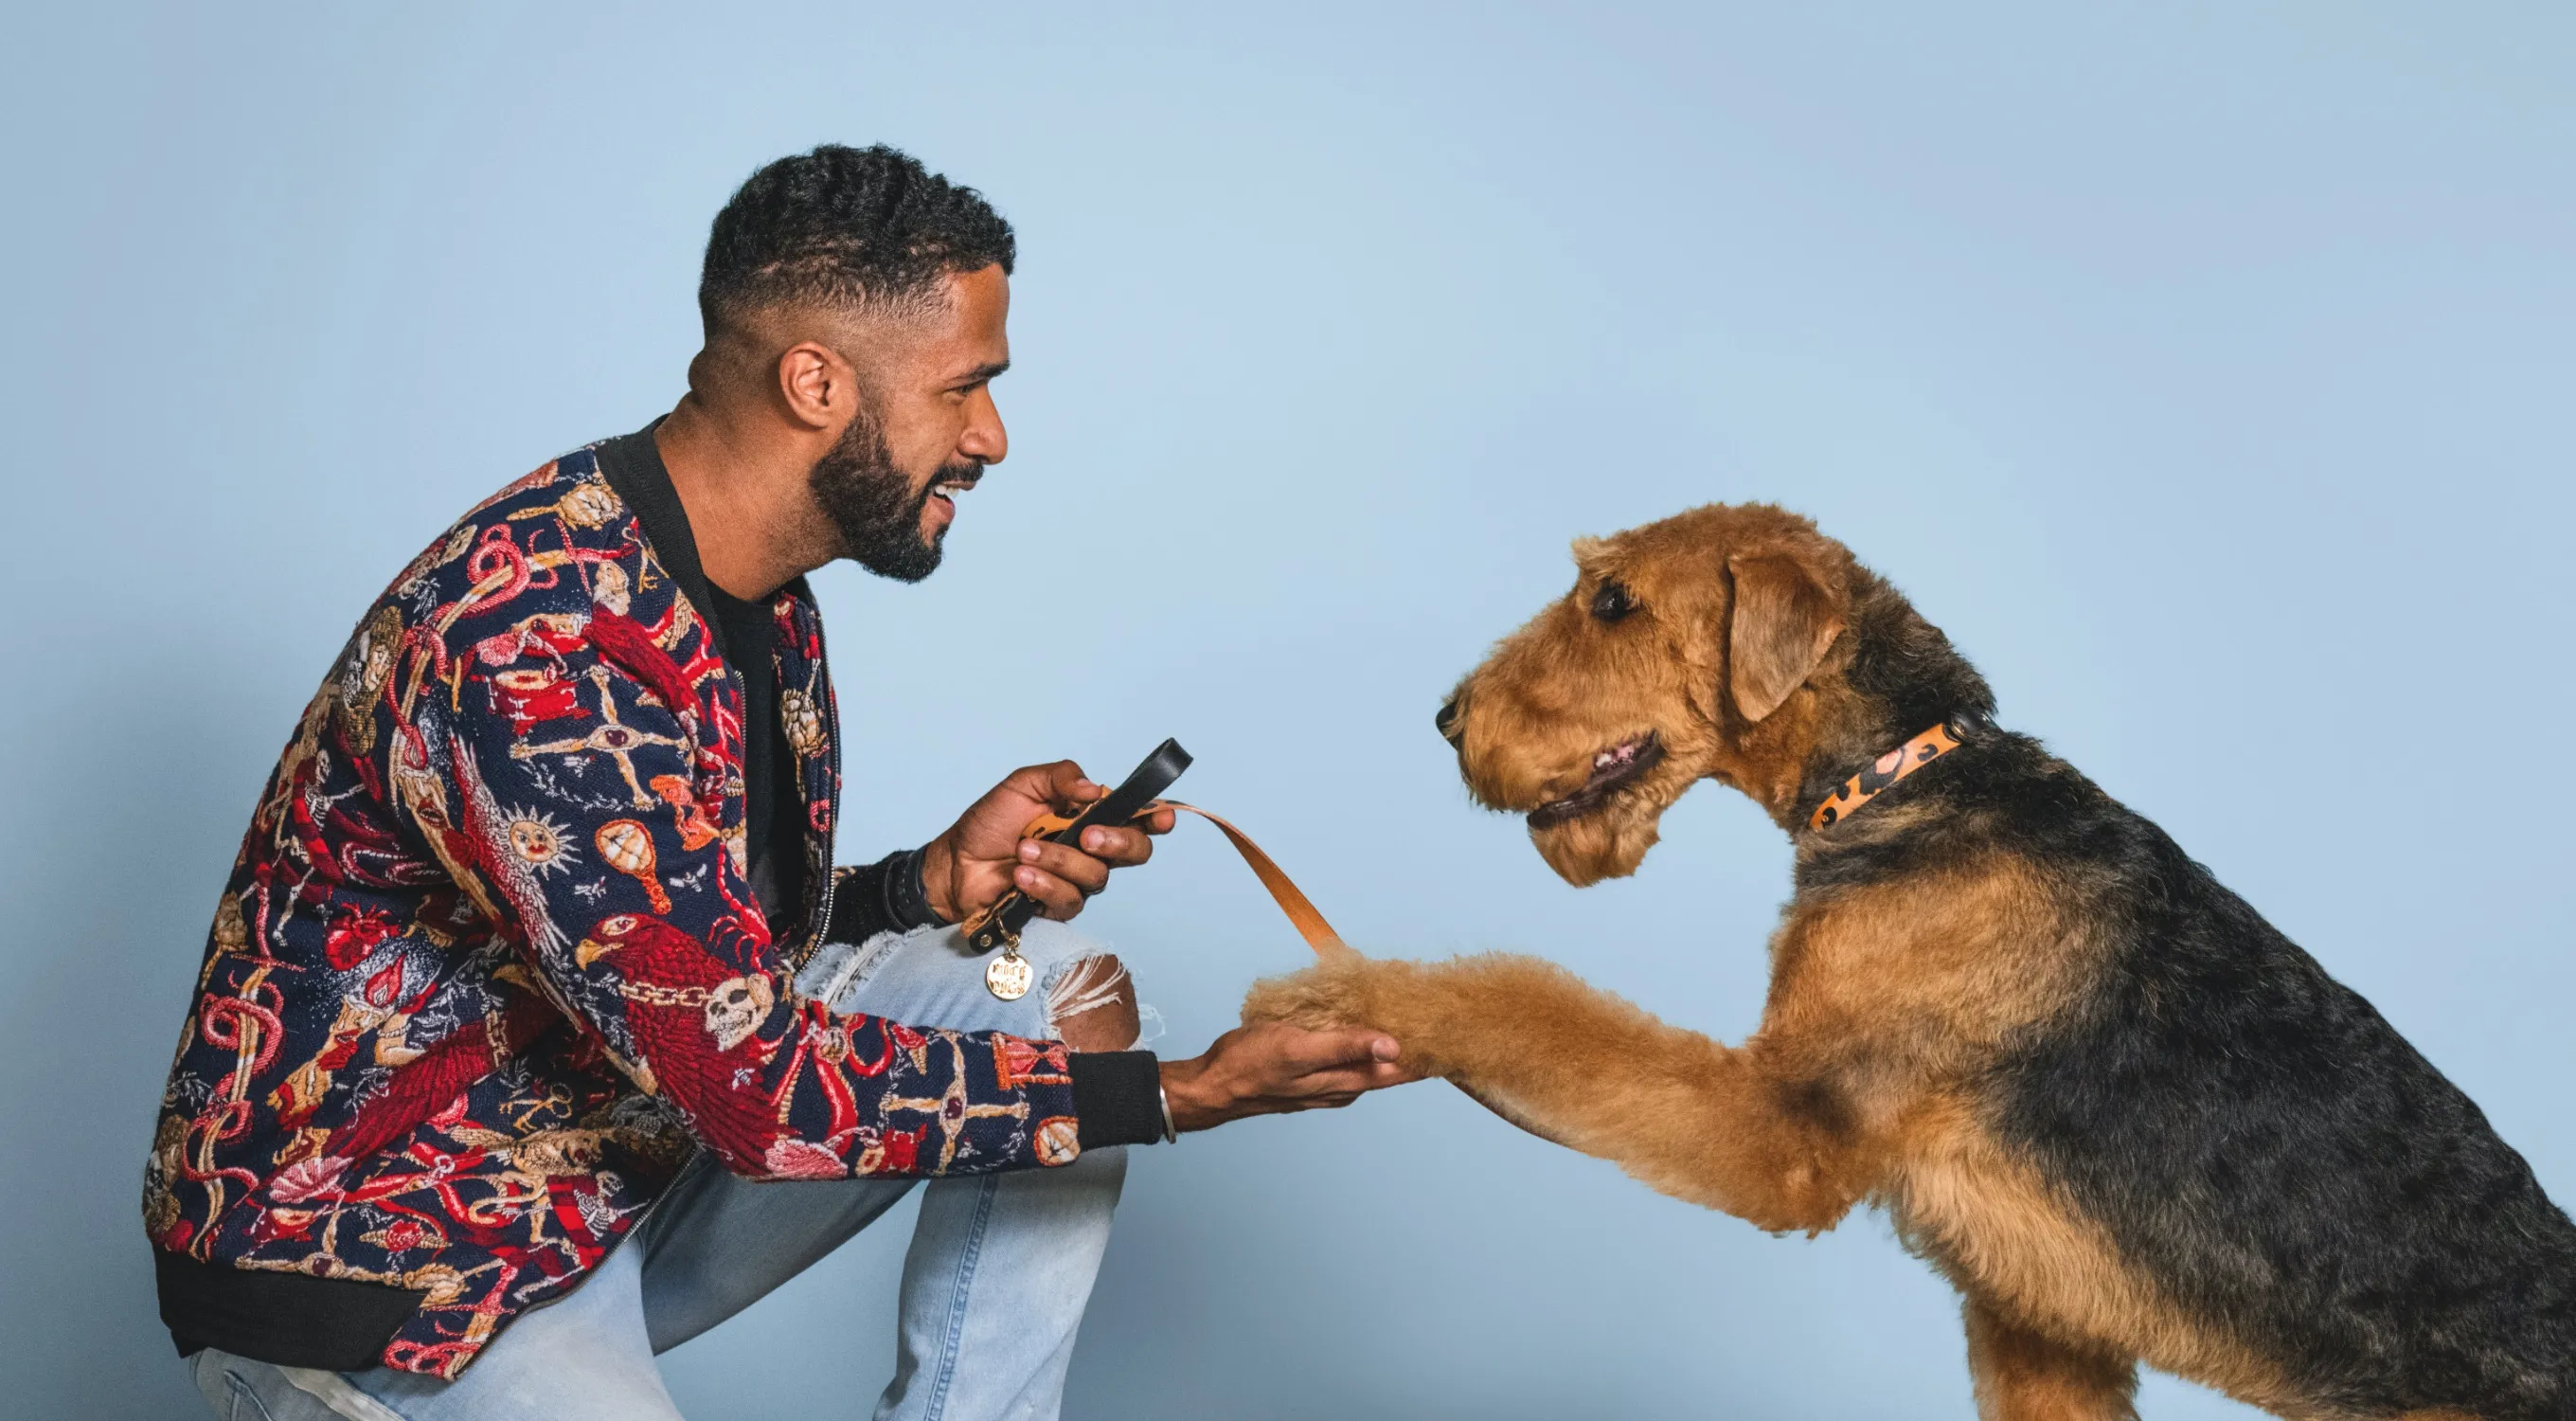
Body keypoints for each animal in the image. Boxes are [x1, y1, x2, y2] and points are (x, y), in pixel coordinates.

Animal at [1246, 505, 2576, 1412]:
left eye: (1612, 601)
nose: (1447, 720)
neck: (1899, 779)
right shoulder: (2036, 1319)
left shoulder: (1782, 1128)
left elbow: (1519, 1001)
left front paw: (1339, 986)